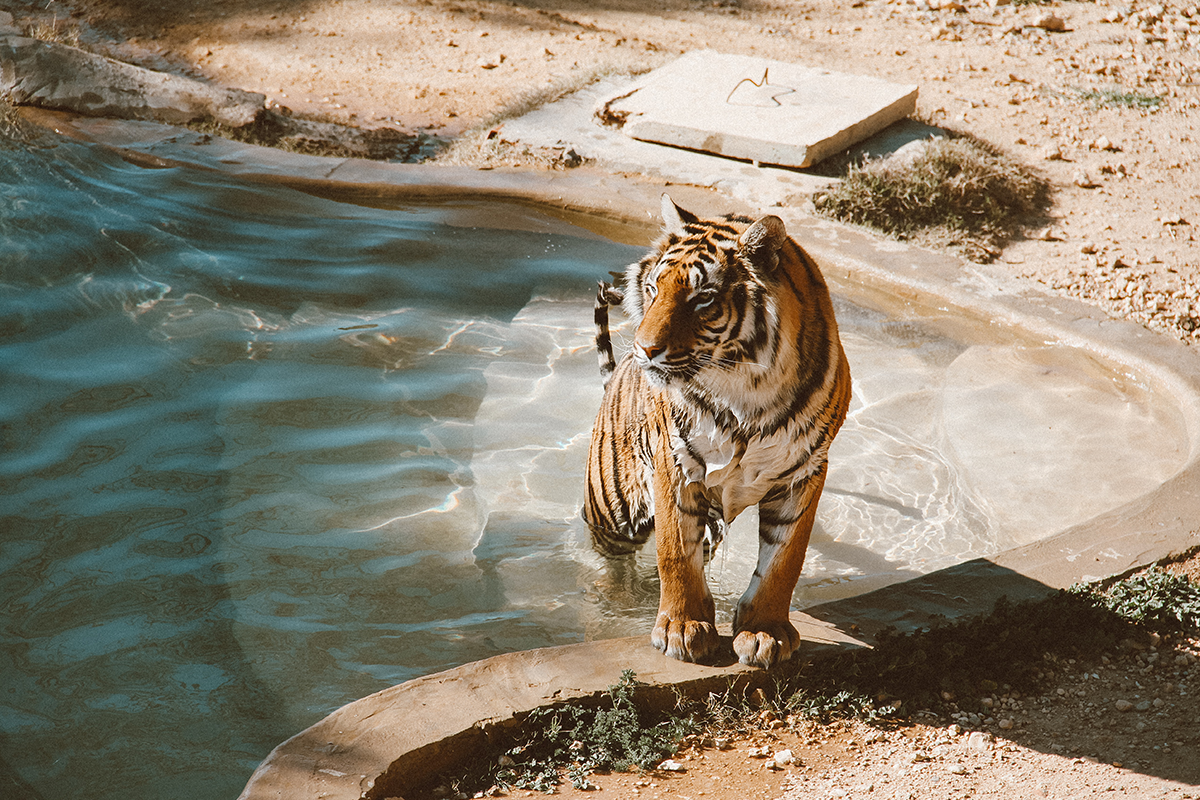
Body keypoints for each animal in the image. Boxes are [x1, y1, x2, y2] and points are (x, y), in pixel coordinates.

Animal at [583, 194, 854, 671]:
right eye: (653, 289)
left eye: (703, 299)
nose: (643, 350)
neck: (746, 390)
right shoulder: (674, 462)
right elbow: (675, 552)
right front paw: (681, 629)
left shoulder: (804, 472)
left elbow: (784, 560)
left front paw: (764, 632)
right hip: (612, 510)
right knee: (608, 560)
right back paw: (613, 600)